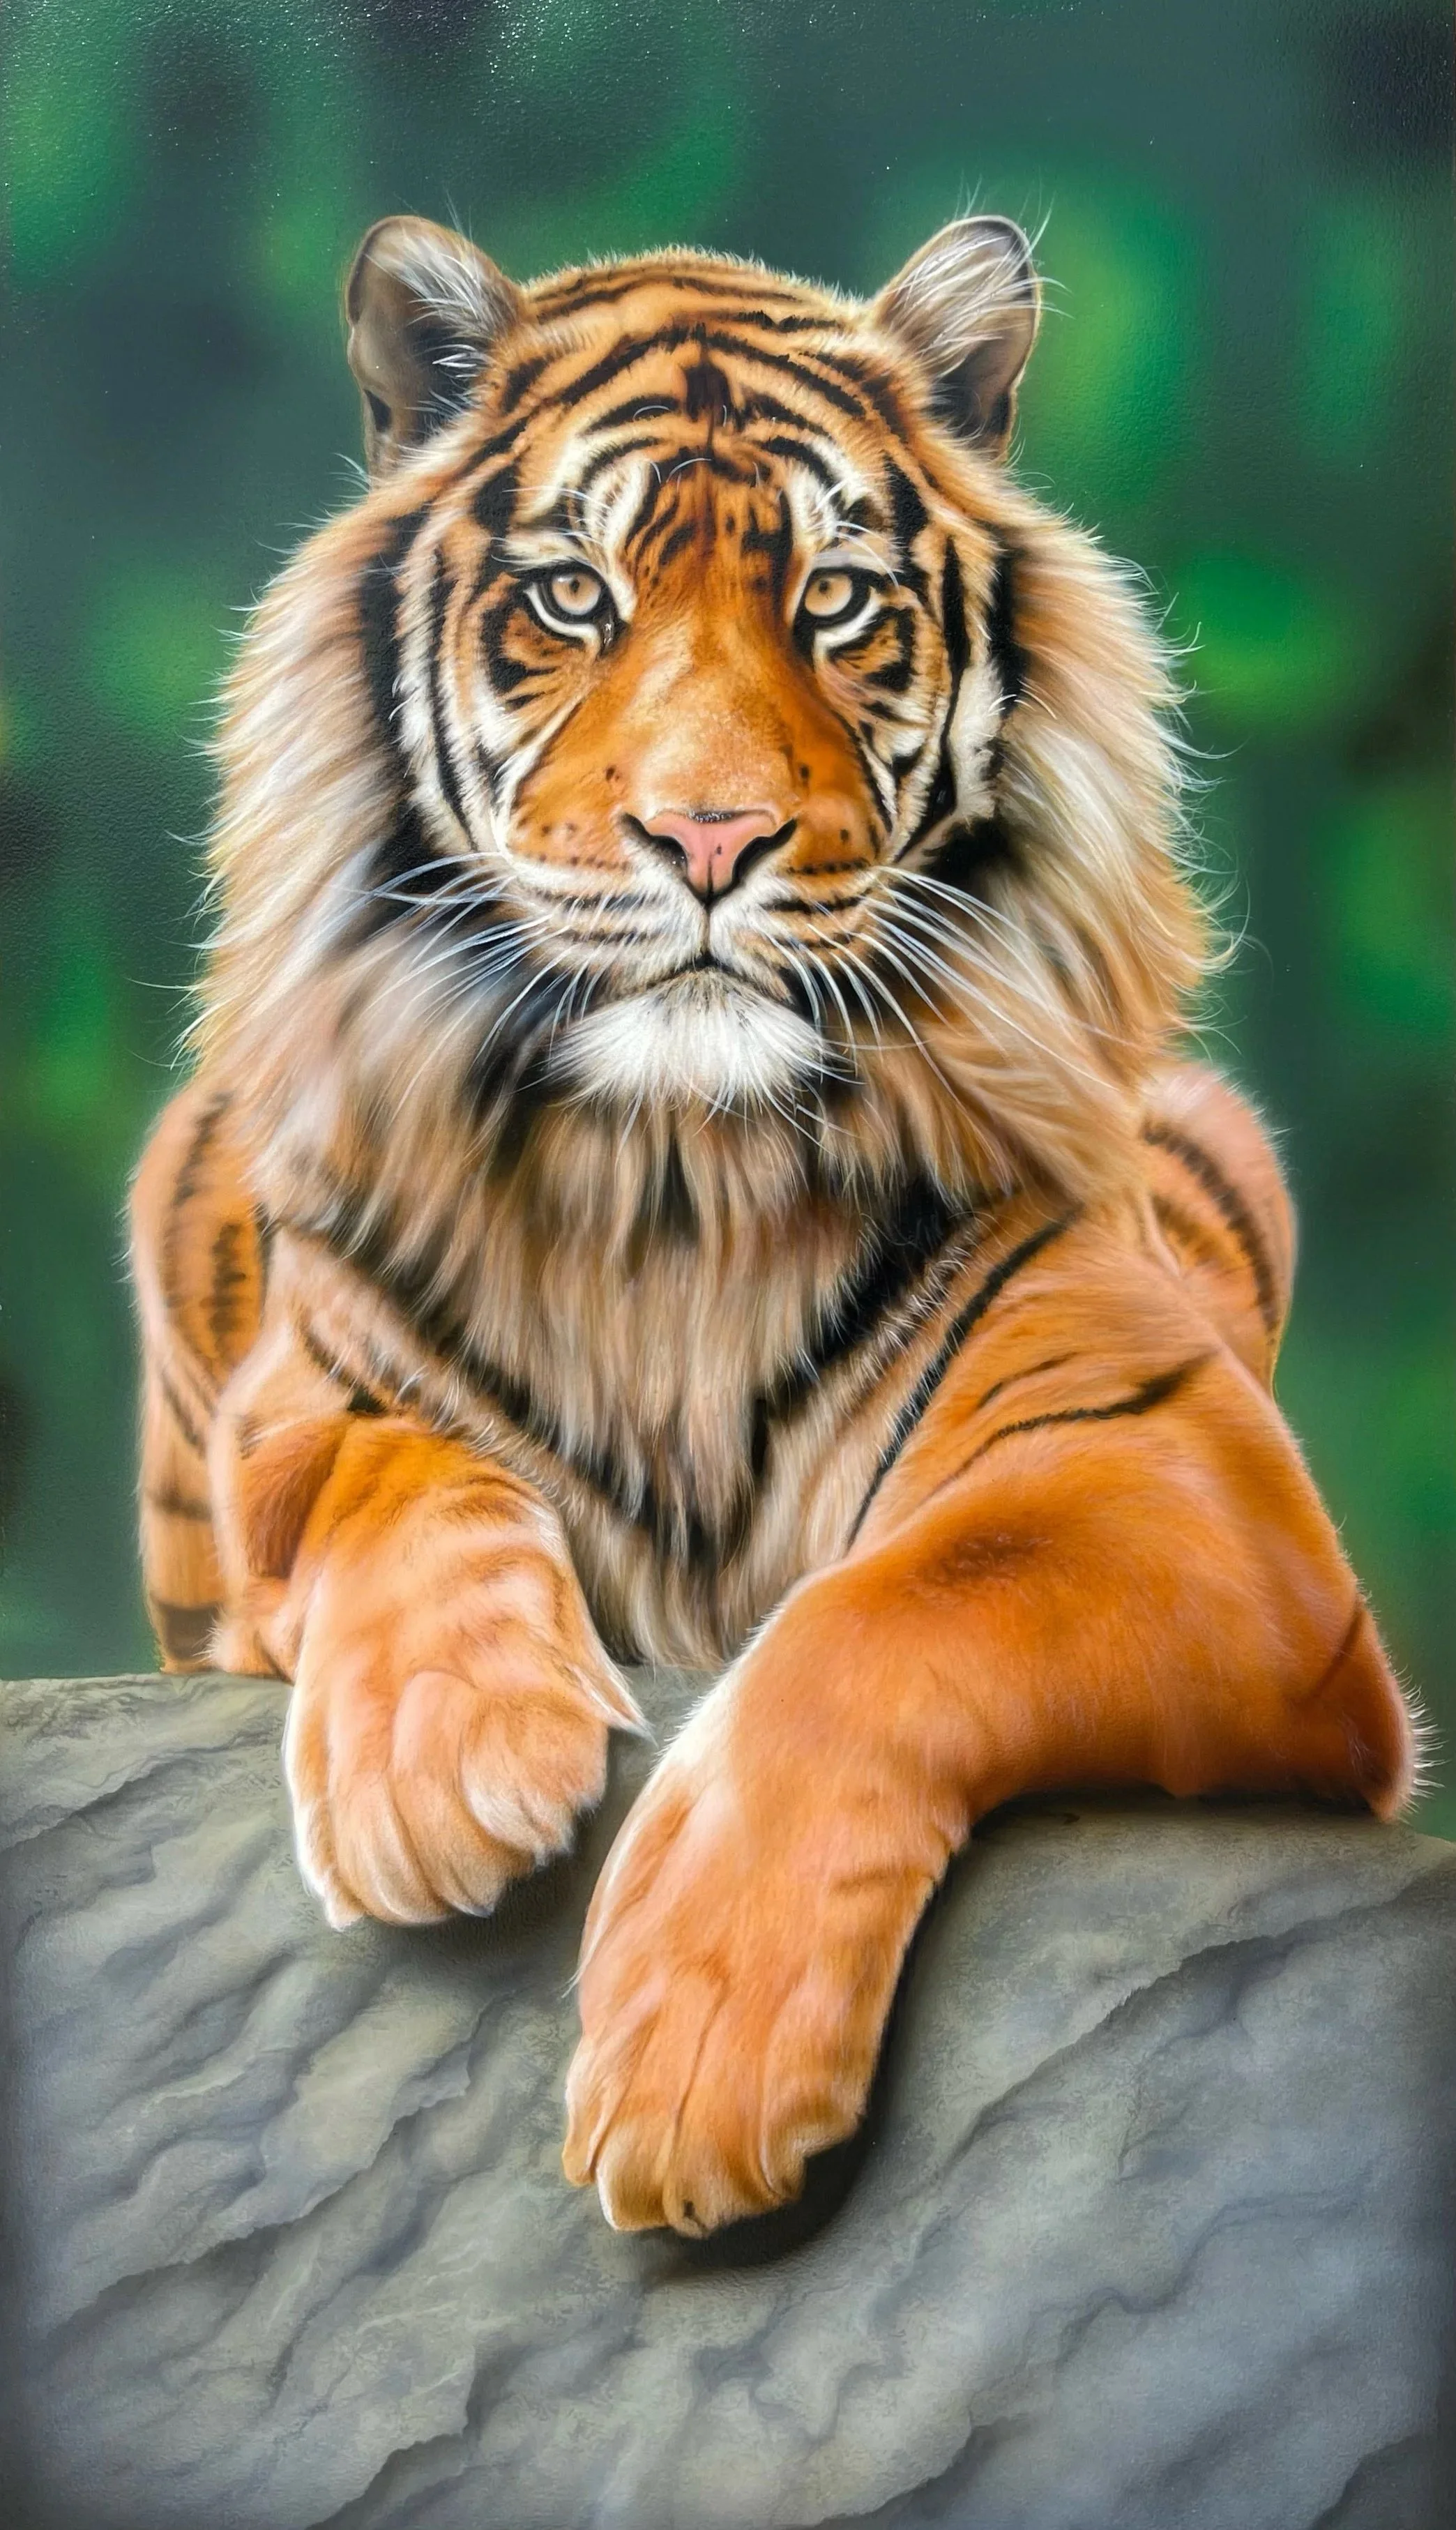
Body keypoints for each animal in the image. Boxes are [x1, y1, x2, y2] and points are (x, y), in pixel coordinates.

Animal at [129, 211, 1419, 2239]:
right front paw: (444, 1770)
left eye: (834, 600)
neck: (676, 1173)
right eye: (571, 596)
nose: (712, 840)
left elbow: (889, 1607)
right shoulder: (298, 1401)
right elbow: (392, 1470)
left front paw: (695, 2061)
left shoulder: (1192, 1485)